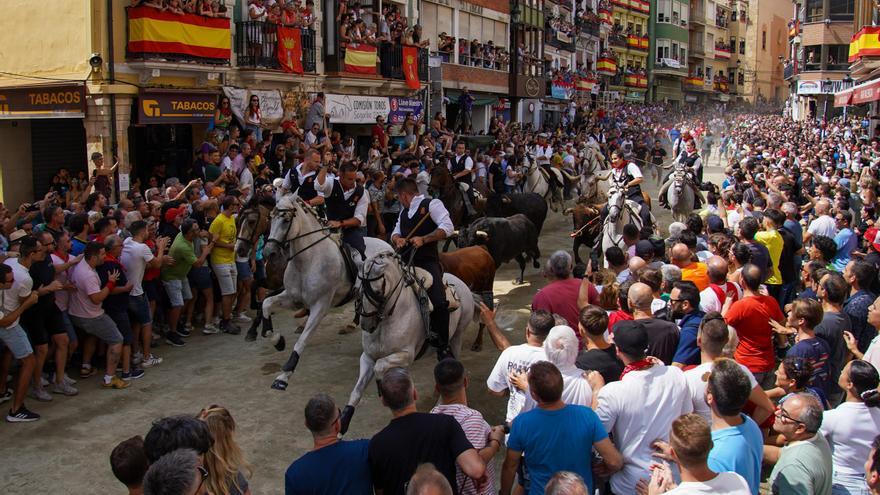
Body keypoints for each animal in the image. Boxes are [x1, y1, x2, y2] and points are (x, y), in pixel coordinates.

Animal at [260, 194, 394, 392]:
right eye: (271, 218)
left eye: (285, 220)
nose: (269, 252)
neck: (308, 260)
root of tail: (386, 244)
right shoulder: (293, 298)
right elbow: (266, 304)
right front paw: (278, 341)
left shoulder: (320, 306)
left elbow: (302, 340)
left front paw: (283, 376)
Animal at [338, 252, 474, 434]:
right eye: (357, 289)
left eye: (377, 291)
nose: (366, 325)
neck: (390, 317)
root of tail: (460, 283)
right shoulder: (367, 357)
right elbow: (357, 390)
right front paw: (343, 422)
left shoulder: (405, 355)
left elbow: (380, 367)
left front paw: (383, 387)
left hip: (456, 337)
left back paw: (441, 401)